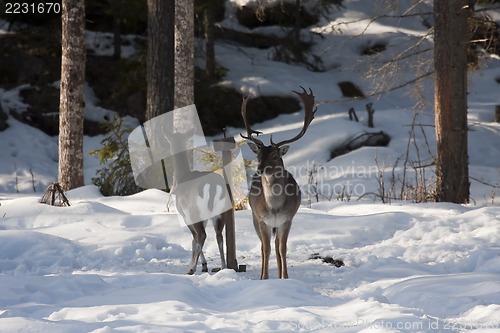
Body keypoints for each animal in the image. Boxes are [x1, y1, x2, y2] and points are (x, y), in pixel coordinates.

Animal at [239, 86, 314, 278]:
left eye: (274, 155)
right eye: (258, 155)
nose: (260, 169)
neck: (274, 208)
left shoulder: (287, 219)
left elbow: (283, 249)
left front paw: (285, 277)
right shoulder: (262, 220)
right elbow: (265, 250)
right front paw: (264, 278)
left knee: (277, 246)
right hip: (255, 219)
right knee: (263, 247)